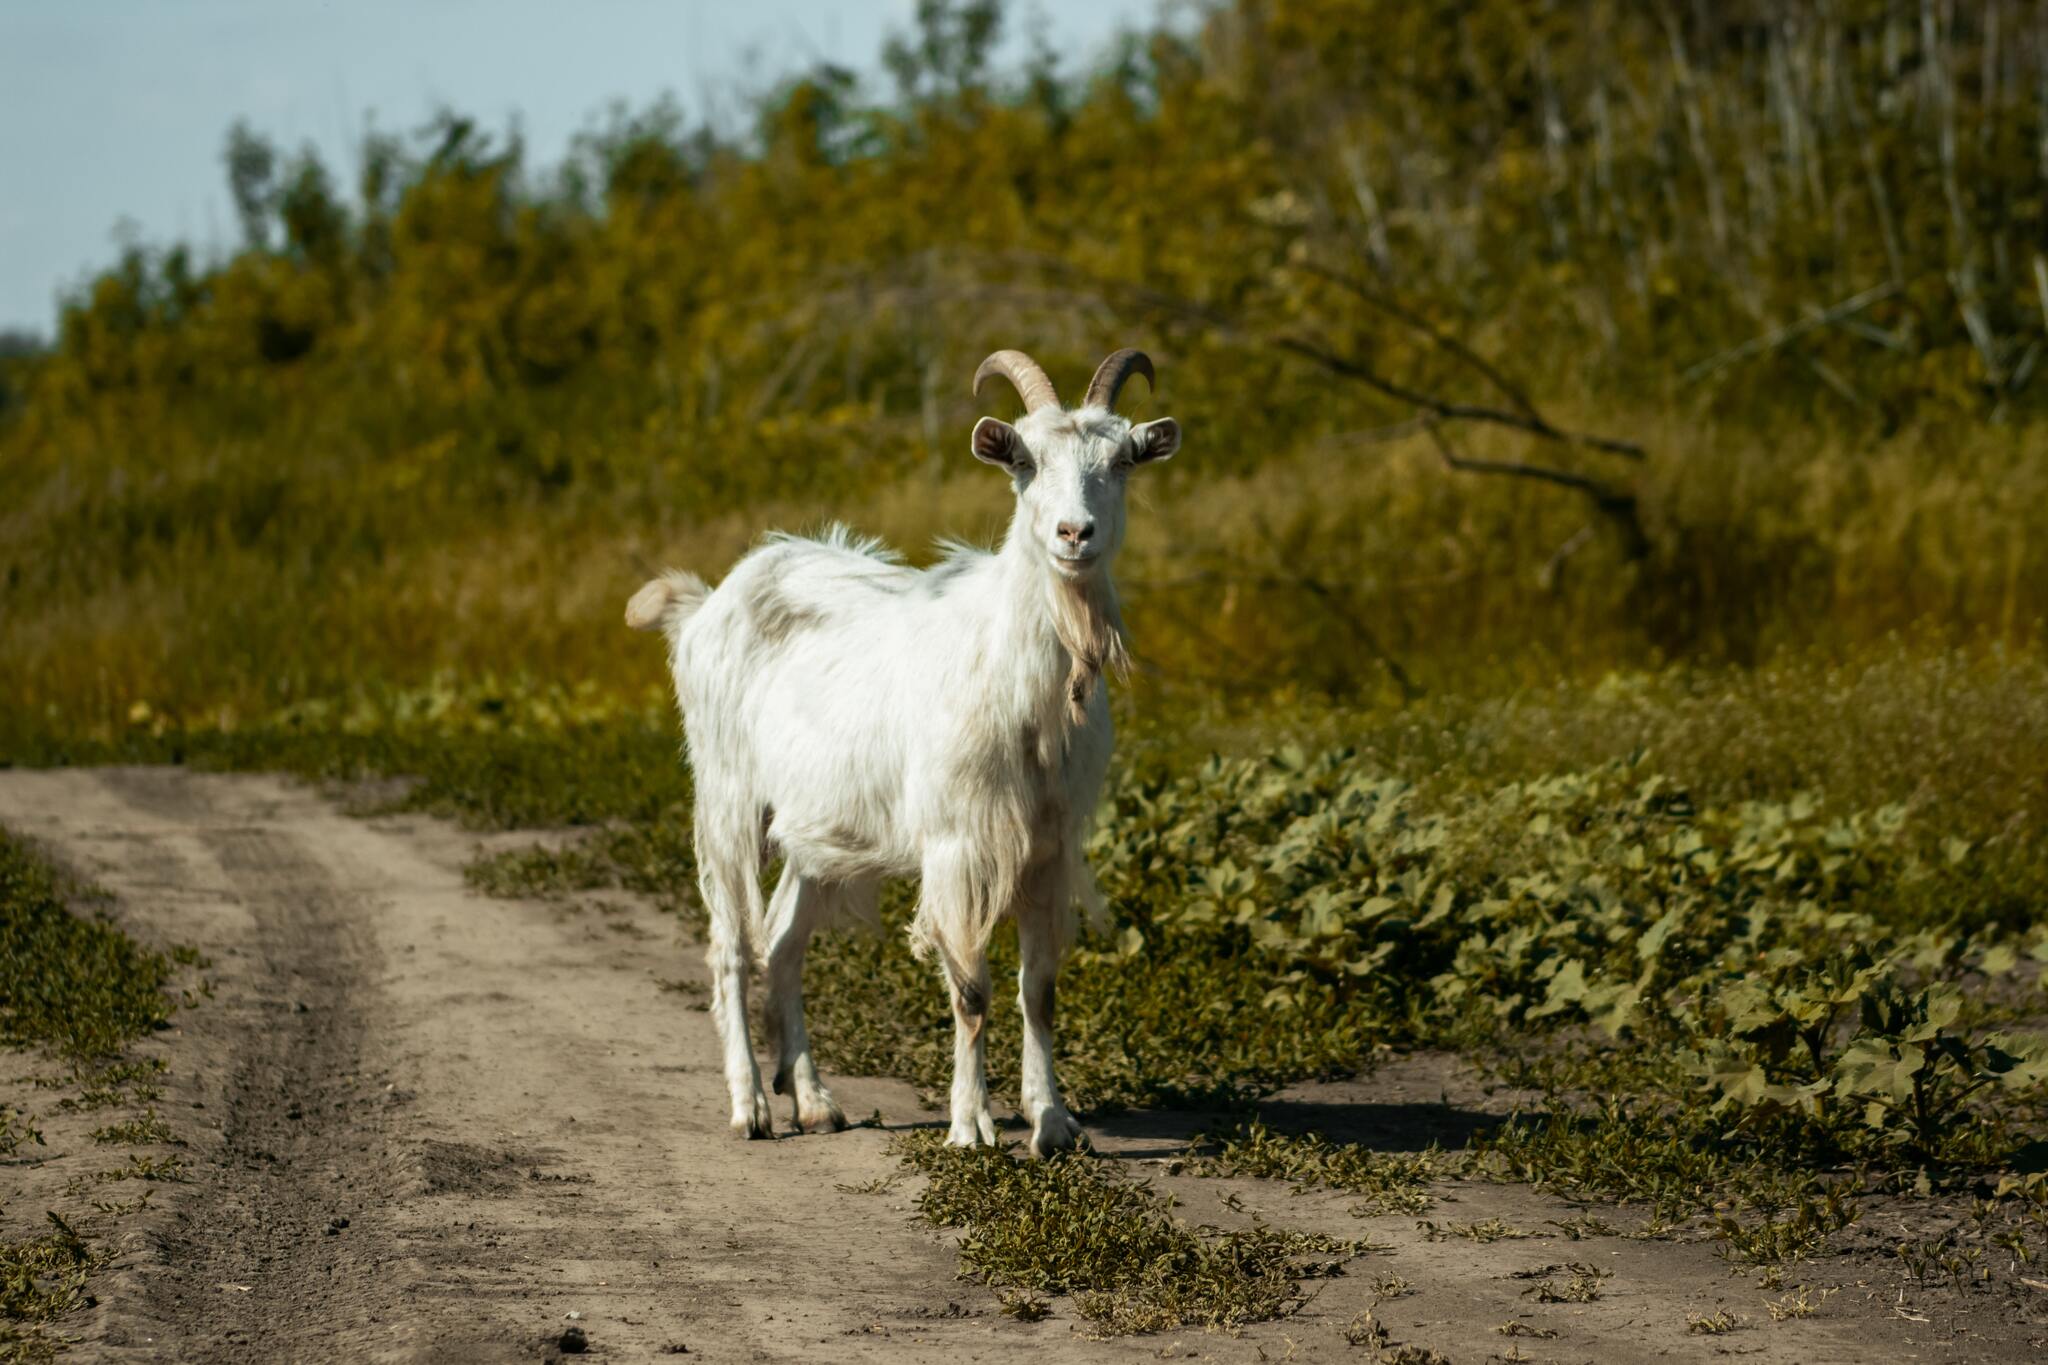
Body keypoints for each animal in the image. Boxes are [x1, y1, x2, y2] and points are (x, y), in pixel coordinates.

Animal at [618, 349, 1187, 1154]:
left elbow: (1039, 989)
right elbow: (972, 988)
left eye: (1121, 461)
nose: (1075, 534)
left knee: (783, 942)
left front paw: (1051, 1122)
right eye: (1026, 461)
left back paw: (815, 1100)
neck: (1023, 685)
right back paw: (751, 1106)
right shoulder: (957, 842)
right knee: (730, 942)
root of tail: (706, 605)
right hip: (726, 796)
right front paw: (972, 1127)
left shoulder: (1049, 844)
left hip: (816, 826)